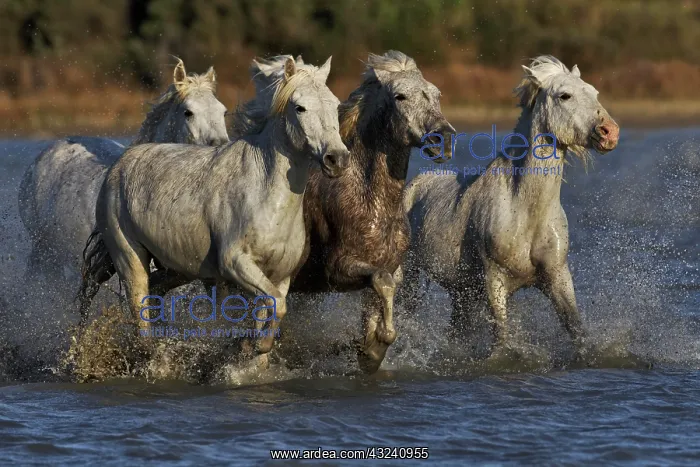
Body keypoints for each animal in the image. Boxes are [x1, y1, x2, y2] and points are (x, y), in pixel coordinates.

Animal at [79, 55, 350, 366]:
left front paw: (250, 349)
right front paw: (251, 345)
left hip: (176, 266)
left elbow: (270, 310)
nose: (337, 159)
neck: (267, 196)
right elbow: (276, 306)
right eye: (300, 107)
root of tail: (120, 164)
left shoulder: (278, 277)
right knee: (140, 314)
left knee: (155, 294)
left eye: (335, 105)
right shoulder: (235, 264)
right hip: (129, 258)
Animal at [287, 50, 455, 374]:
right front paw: (371, 348)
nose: (442, 138)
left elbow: (381, 297)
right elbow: (382, 282)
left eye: (437, 94)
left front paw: (369, 348)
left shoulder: (389, 266)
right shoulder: (337, 268)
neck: (372, 202)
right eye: (400, 96)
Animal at [401, 55, 620, 361]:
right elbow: (502, 336)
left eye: (594, 92)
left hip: (461, 292)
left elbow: (577, 329)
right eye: (564, 95)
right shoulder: (494, 278)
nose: (610, 132)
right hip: (410, 274)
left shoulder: (557, 275)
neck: (525, 210)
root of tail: (416, 184)